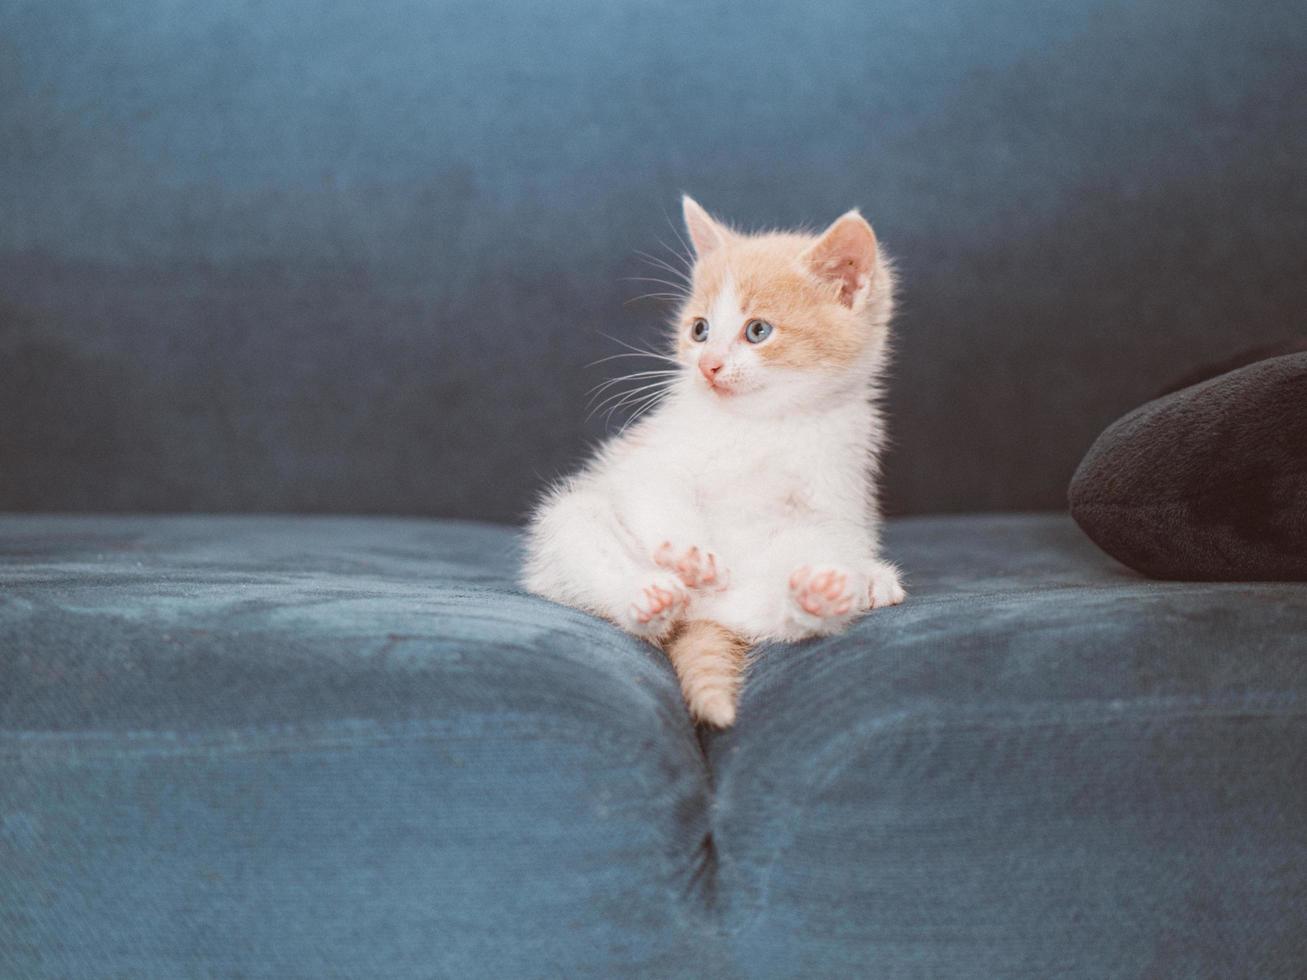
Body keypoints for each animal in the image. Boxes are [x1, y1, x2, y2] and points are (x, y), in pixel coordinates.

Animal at [517, 195, 899, 726]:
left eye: (757, 331)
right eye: (699, 330)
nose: (707, 365)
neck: (761, 425)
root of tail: (708, 614)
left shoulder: (838, 486)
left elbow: (841, 534)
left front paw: (864, 578)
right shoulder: (649, 458)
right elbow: (658, 495)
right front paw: (691, 556)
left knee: (785, 609)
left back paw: (818, 597)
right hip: (574, 522)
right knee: (594, 552)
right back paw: (652, 597)